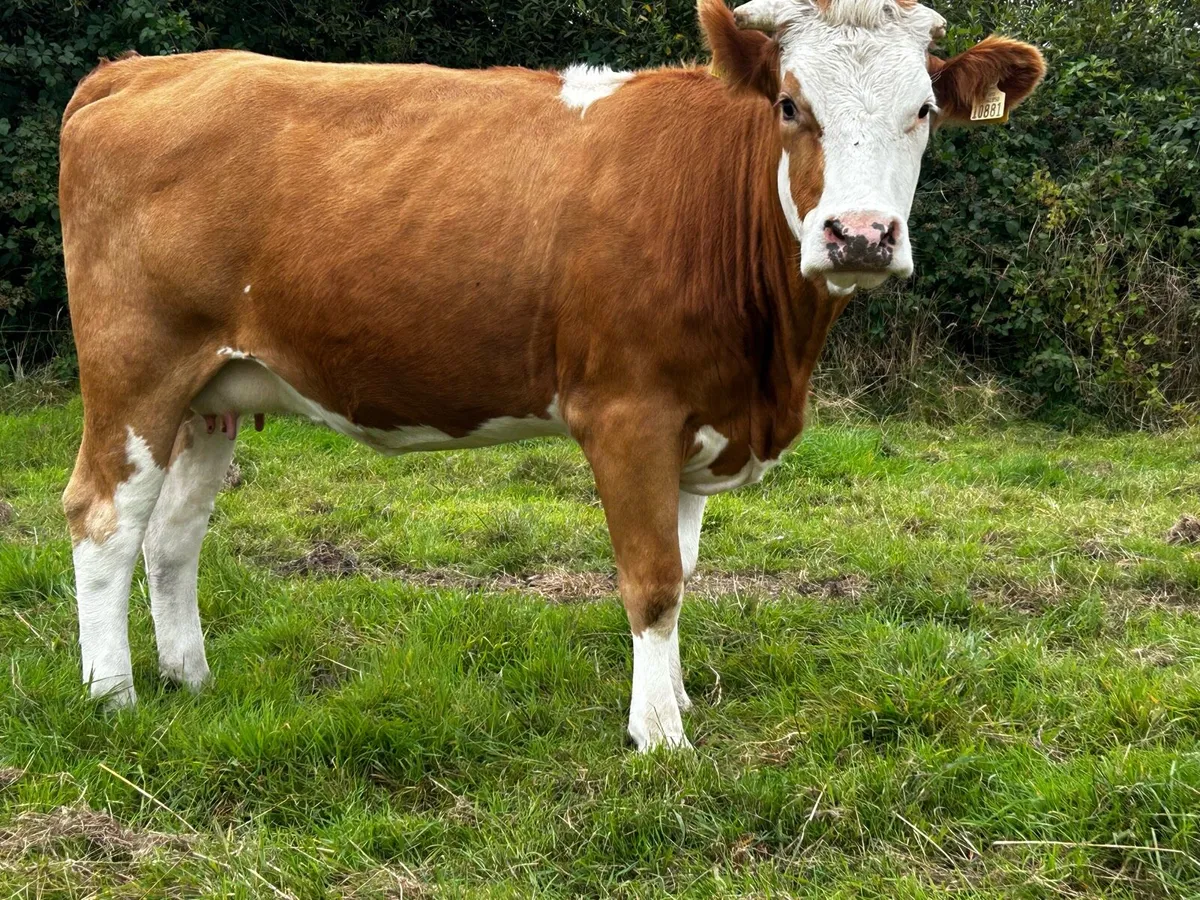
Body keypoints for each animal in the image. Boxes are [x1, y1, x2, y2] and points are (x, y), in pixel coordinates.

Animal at [59, 0, 1043, 750]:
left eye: (923, 109)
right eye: (792, 106)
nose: (861, 235)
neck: (771, 368)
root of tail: (144, 70)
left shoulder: (701, 421)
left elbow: (683, 566)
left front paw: (674, 697)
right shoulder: (627, 412)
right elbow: (652, 580)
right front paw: (661, 738)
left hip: (212, 393)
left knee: (171, 537)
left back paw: (190, 679)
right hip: (135, 369)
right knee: (103, 519)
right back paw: (112, 697)